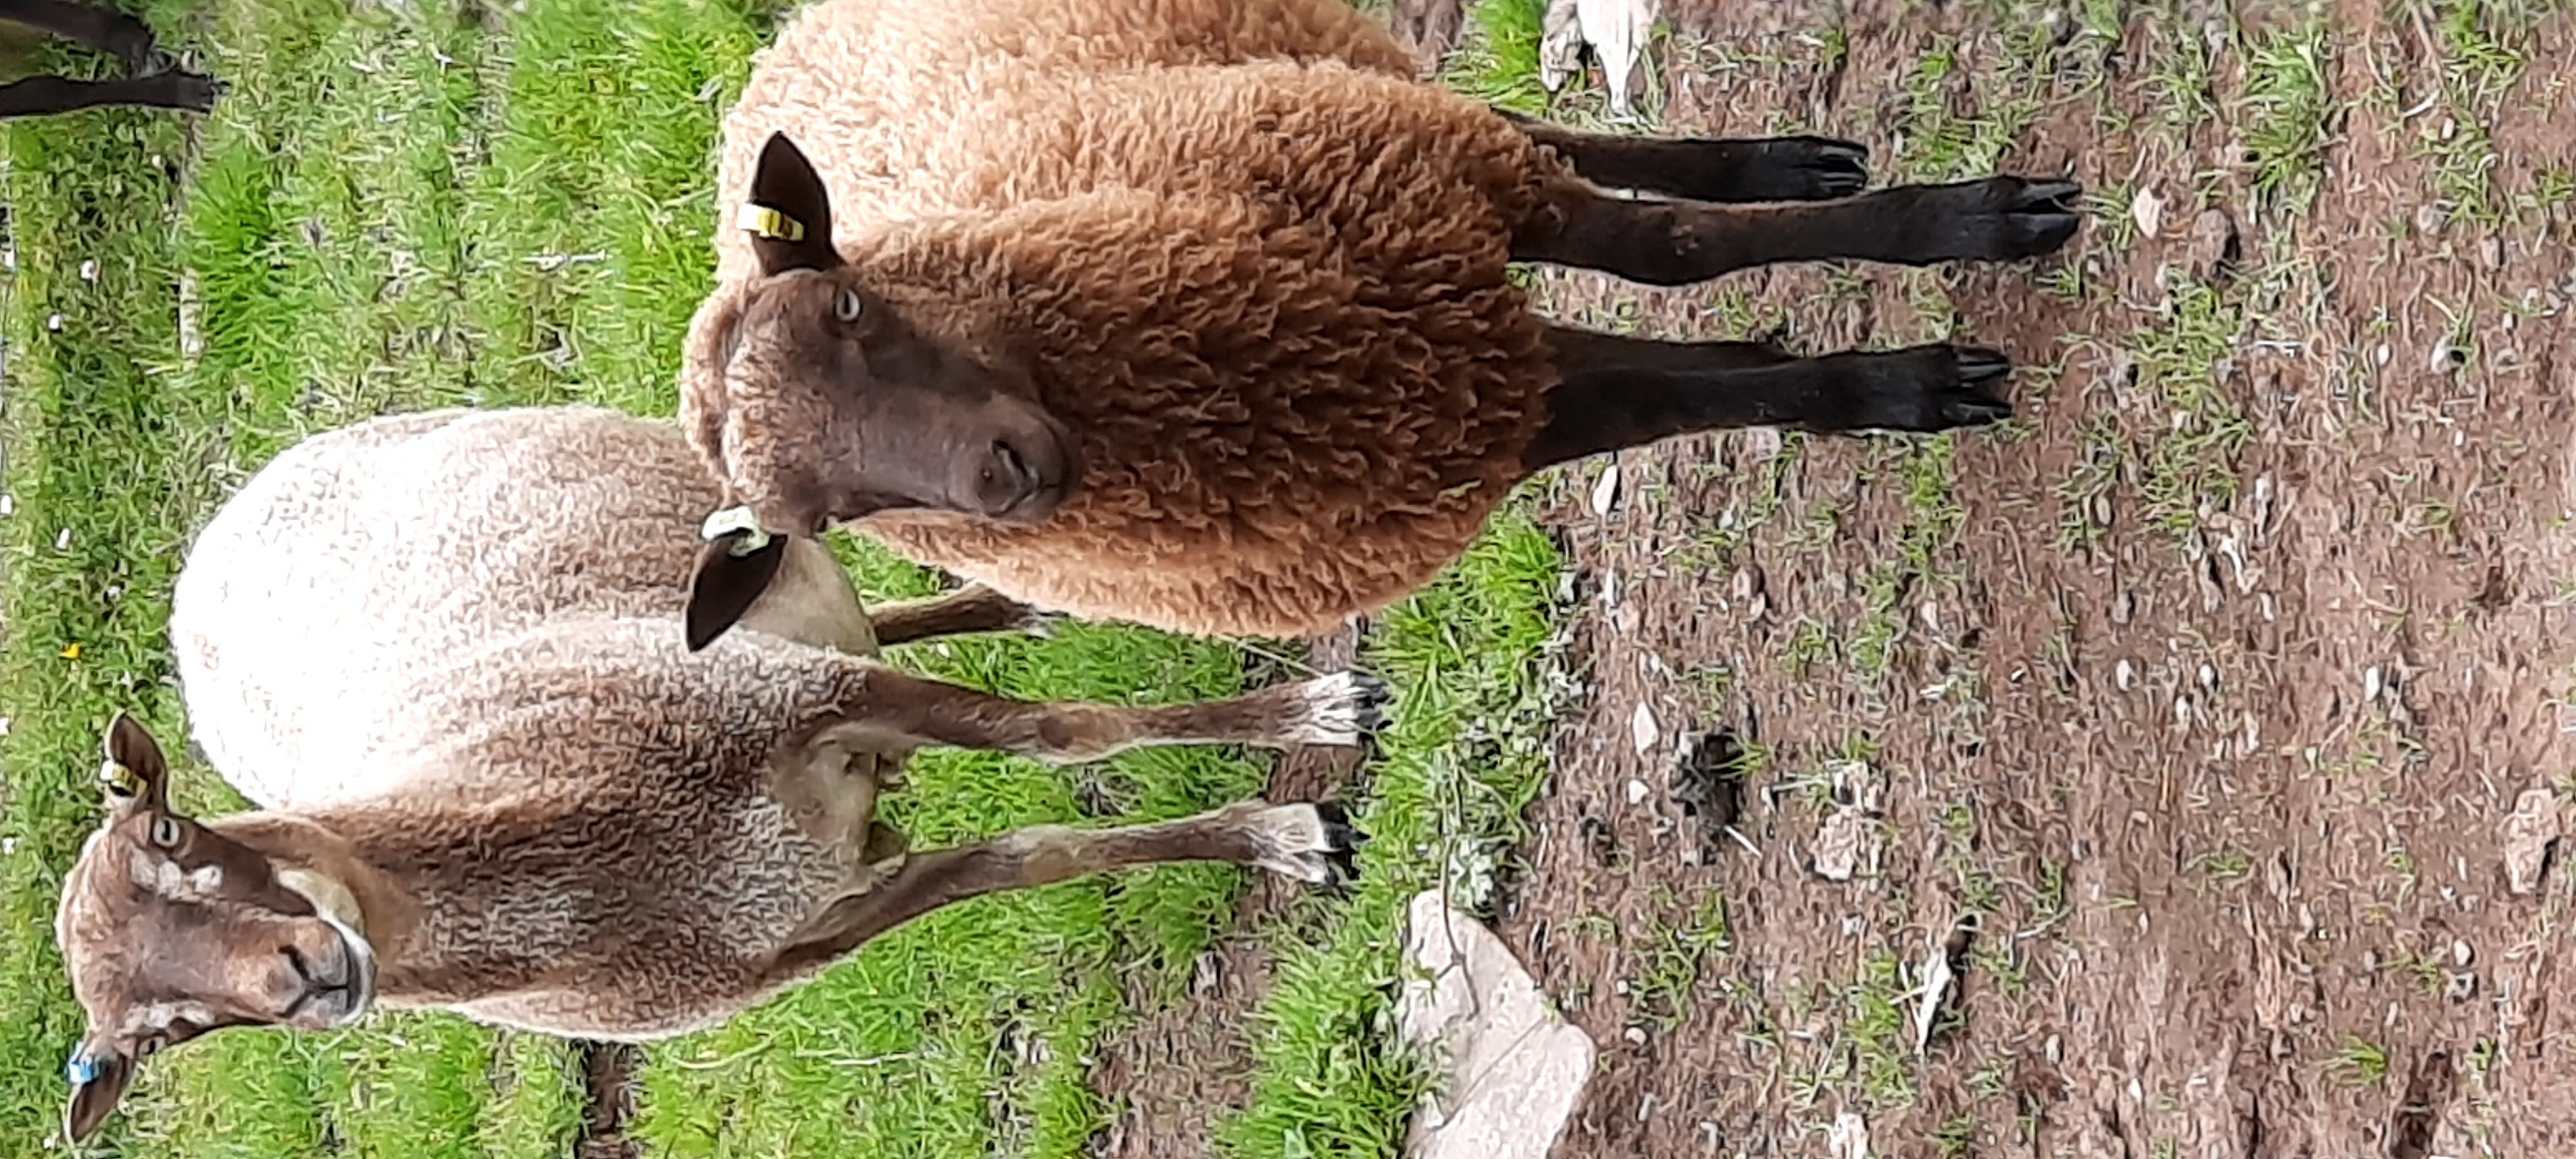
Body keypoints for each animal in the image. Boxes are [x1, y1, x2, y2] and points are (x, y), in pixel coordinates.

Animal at [51, 405, 1388, 1142]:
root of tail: (199, 569)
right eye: (152, 1041)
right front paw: (1284, 830)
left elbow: (1064, 737)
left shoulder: (788, 696)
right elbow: (1040, 855)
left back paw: (1025, 584)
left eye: (173, 836)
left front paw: (1308, 721)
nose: (306, 976)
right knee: (867, 611)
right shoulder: (829, 918)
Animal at [673, 0, 2083, 650]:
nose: (1001, 479)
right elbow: (1675, 389)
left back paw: (1776, 165)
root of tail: (765, 66)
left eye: (849, 302)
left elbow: (1672, 253)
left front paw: (1973, 225)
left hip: (1350, 87)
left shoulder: (1443, 188)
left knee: (1542, 132)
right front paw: (1885, 386)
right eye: (821, 526)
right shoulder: (1477, 422)